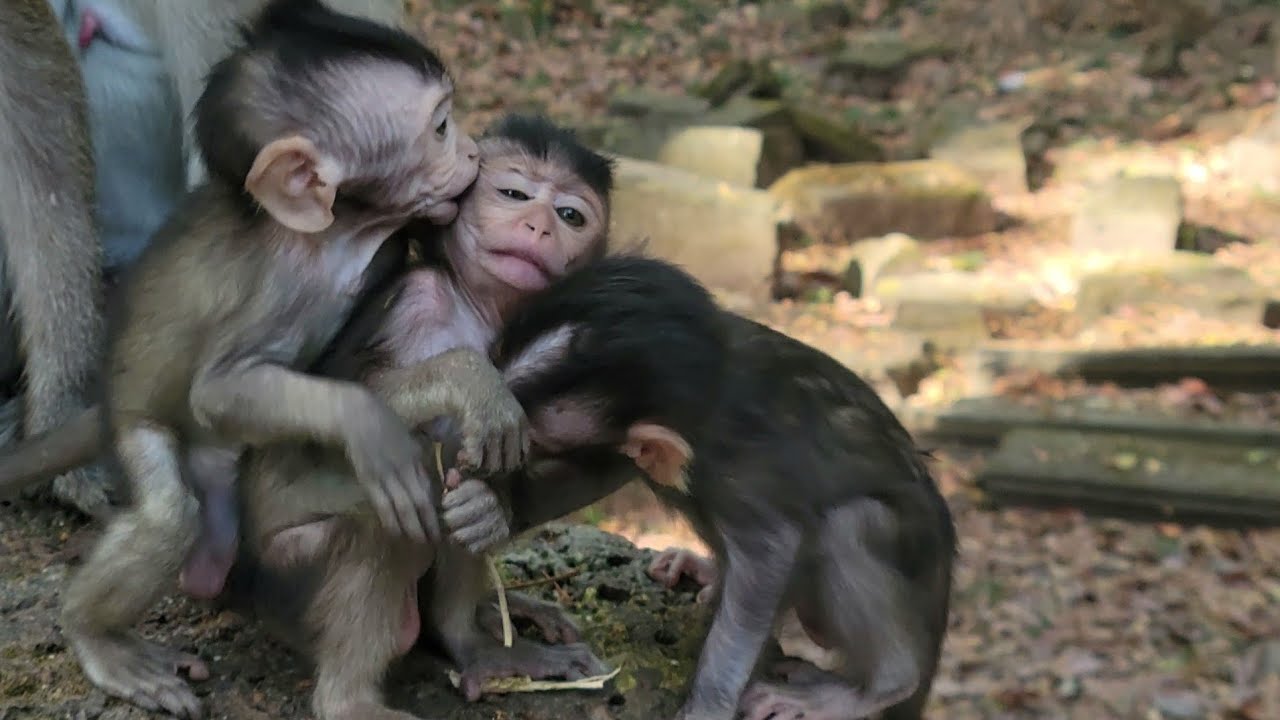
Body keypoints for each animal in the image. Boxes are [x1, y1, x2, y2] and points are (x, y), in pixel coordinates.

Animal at [49, 3, 499, 717]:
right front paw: (372, 420)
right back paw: (97, 637)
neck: (341, 236)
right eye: (441, 128)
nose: (477, 150)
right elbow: (221, 390)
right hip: (135, 426)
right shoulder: (280, 284)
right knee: (170, 514)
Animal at [216, 114, 618, 720]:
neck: (476, 307)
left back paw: (474, 641)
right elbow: (351, 401)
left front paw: (493, 507)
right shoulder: (419, 306)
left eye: (571, 215)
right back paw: (350, 700)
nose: (538, 227)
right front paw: (469, 378)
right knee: (397, 504)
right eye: (515, 195)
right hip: (284, 585)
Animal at [449, 254, 959, 720]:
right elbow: (596, 472)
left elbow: (769, 553)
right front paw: (492, 508)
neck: (715, 388)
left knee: (852, 525)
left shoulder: (739, 466)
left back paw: (879, 686)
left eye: (531, 444)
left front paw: (709, 704)